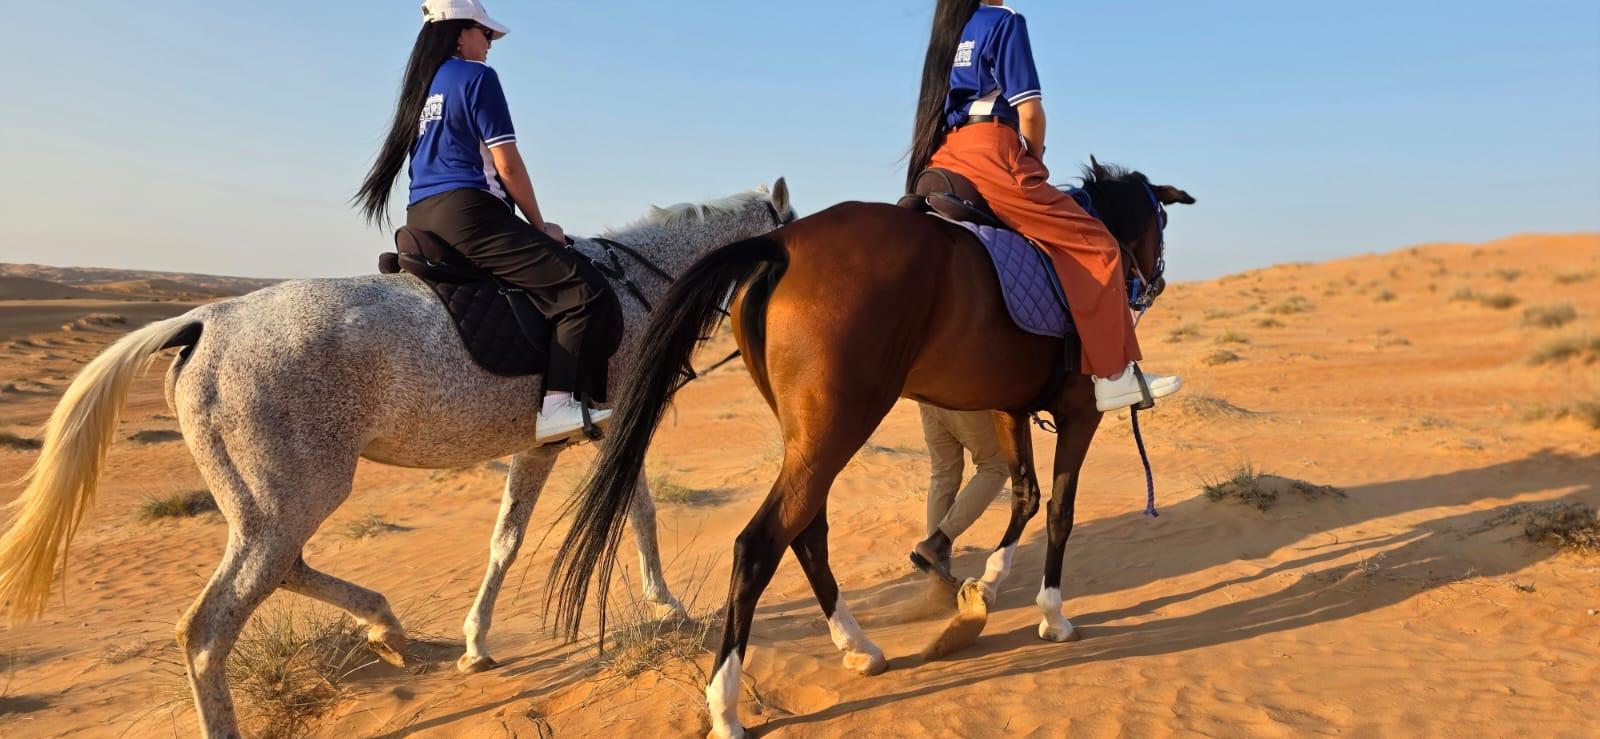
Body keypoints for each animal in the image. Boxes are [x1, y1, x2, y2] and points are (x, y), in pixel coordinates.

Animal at [0, 180, 795, 738]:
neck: (640, 289)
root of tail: (203, 323)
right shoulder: (609, 432)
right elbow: (631, 516)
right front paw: (666, 602)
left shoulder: (549, 445)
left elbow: (514, 536)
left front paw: (477, 641)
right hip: (293, 497)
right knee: (208, 629)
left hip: (269, 504)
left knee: (285, 570)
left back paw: (389, 628)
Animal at [548, 161, 1191, 738]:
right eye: (1159, 222)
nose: (1154, 281)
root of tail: (780, 245)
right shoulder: (1080, 413)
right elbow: (1059, 511)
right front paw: (1053, 615)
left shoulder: (1009, 409)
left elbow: (1026, 497)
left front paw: (985, 585)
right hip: (838, 427)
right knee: (760, 543)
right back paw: (726, 707)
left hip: (812, 437)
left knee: (806, 532)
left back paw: (858, 647)